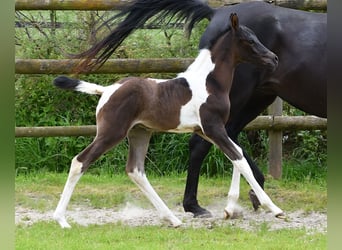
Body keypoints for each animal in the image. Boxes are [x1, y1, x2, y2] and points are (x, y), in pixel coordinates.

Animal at [52, 14, 284, 229]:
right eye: (250, 41)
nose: (274, 59)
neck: (209, 82)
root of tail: (107, 90)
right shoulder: (213, 128)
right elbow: (239, 158)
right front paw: (274, 209)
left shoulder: (206, 130)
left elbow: (237, 155)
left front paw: (231, 208)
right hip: (111, 133)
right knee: (80, 162)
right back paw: (61, 219)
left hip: (139, 132)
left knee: (135, 170)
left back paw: (172, 219)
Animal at [74, 0, 326, 217]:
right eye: (249, 41)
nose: (274, 59)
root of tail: (216, 12)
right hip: (241, 97)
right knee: (208, 144)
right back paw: (198, 205)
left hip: (254, 99)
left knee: (227, 142)